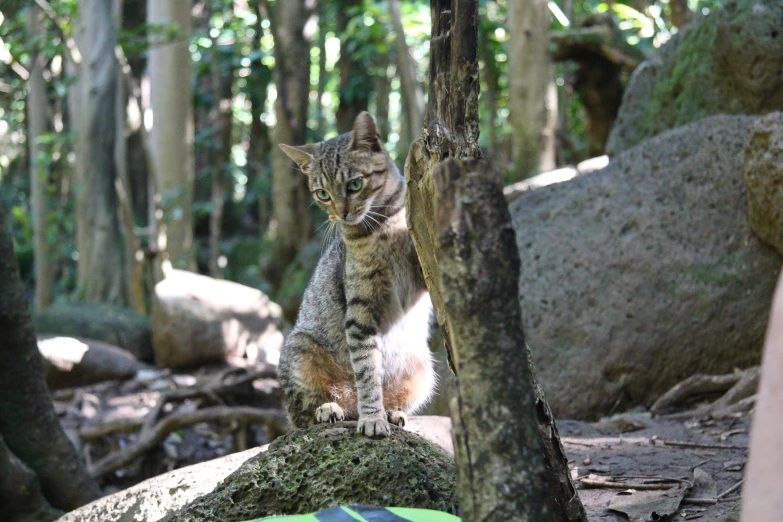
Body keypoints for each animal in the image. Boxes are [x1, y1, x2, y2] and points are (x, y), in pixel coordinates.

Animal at [278, 112, 434, 434]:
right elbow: (367, 371)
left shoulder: (421, 270)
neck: (382, 228)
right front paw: (372, 418)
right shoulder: (361, 311)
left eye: (354, 185)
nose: (342, 213)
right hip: (300, 348)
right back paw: (330, 409)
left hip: (423, 367)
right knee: (301, 415)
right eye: (323, 194)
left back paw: (393, 413)